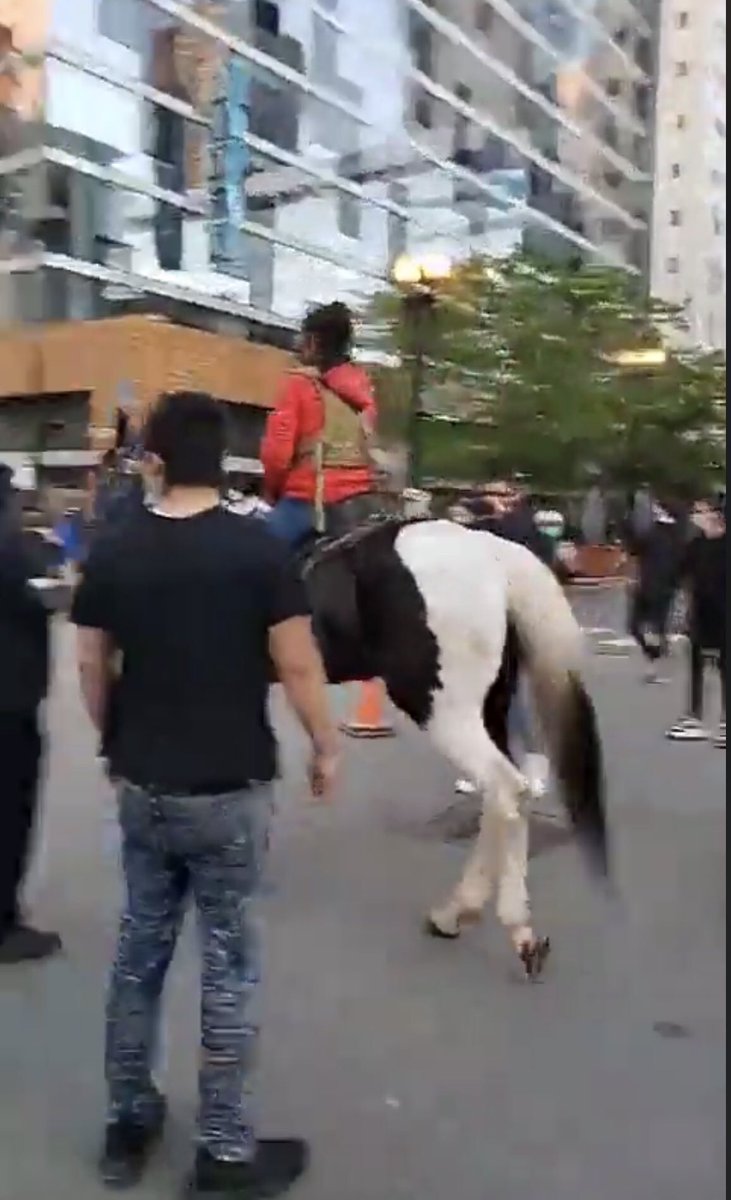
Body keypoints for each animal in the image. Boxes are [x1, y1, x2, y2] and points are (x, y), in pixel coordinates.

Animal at [298, 516, 607, 974]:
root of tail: (492, 550)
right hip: (490, 706)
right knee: (509, 794)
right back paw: (465, 915)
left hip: (442, 708)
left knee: (503, 788)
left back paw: (502, 924)